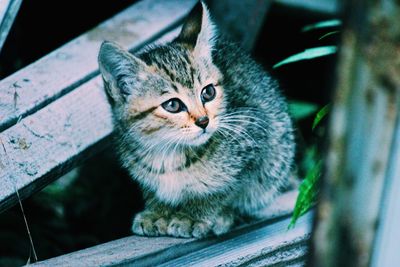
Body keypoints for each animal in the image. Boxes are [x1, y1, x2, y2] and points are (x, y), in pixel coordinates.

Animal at [98, 2, 296, 240]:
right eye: (173, 105)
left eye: (208, 92)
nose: (203, 121)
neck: (168, 153)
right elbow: (153, 190)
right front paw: (158, 211)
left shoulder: (256, 138)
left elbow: (225, 189)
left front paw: (194, 215)